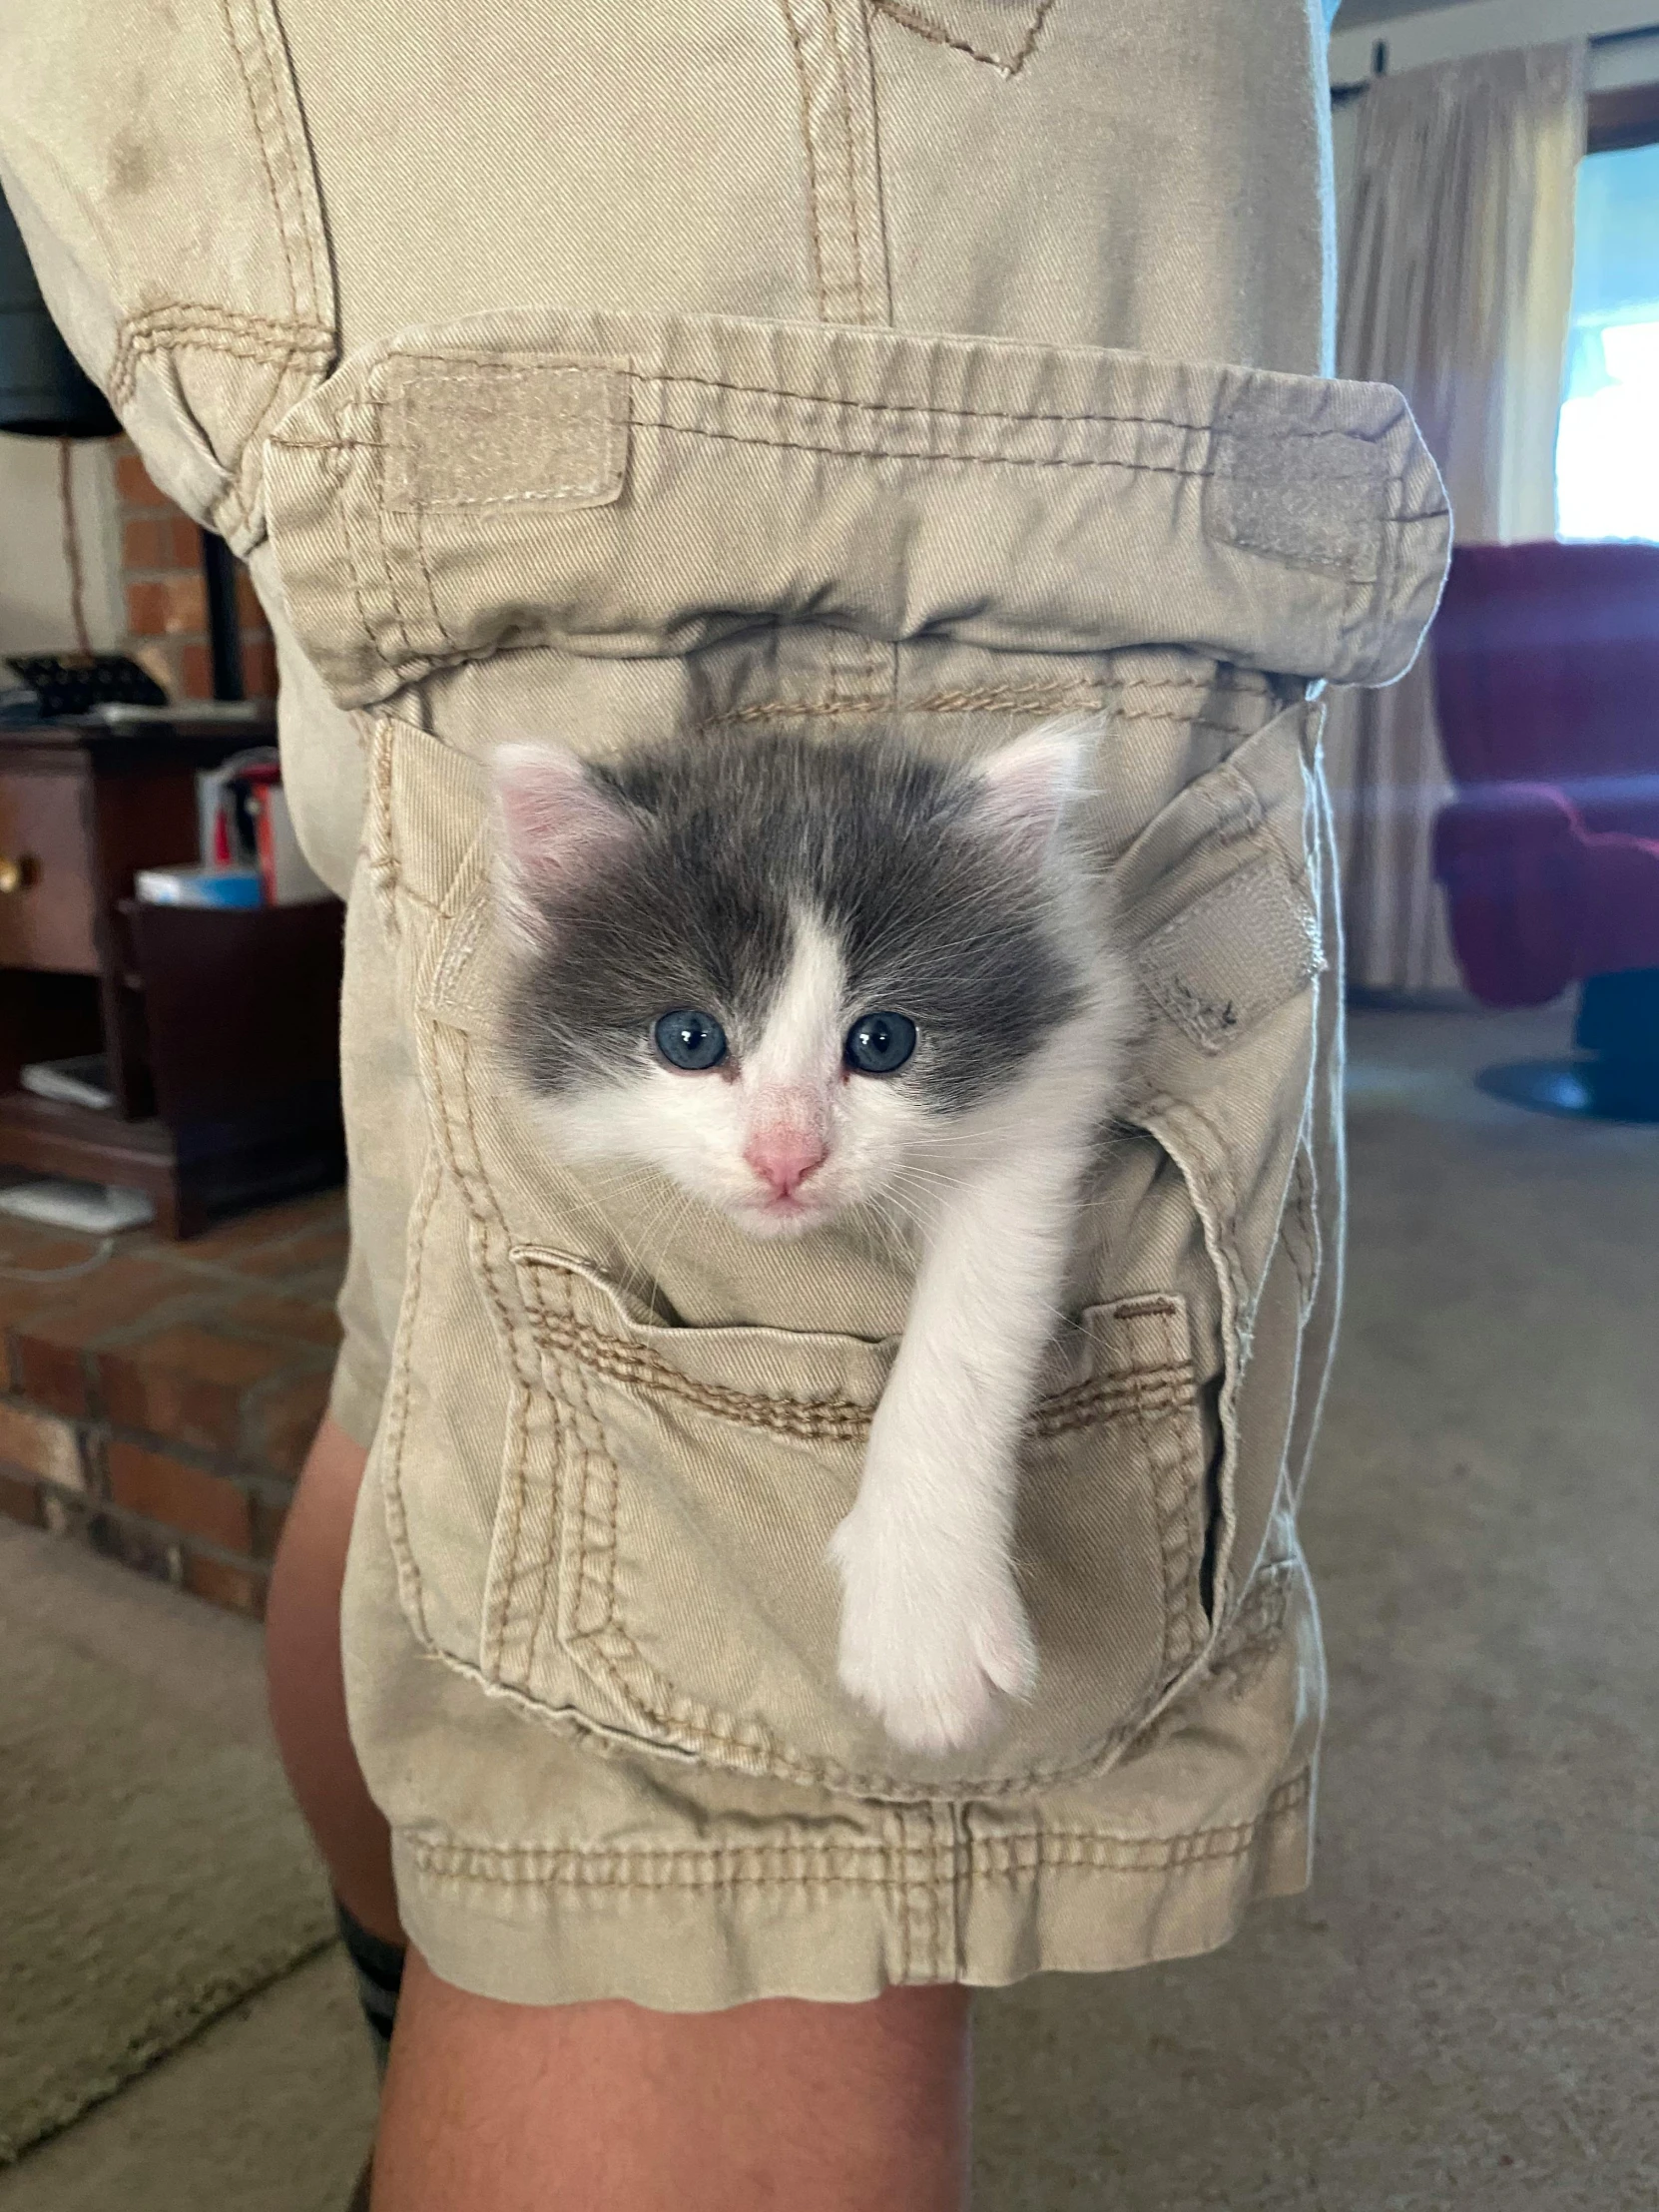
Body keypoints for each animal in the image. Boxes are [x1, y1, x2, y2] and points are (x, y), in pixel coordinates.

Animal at [493, 716, 1141, 1752]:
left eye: (883, 1042)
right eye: (690, 1040)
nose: (787, 1156)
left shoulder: (1046, 1107)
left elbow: (969, 1340)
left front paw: (923, 1618)